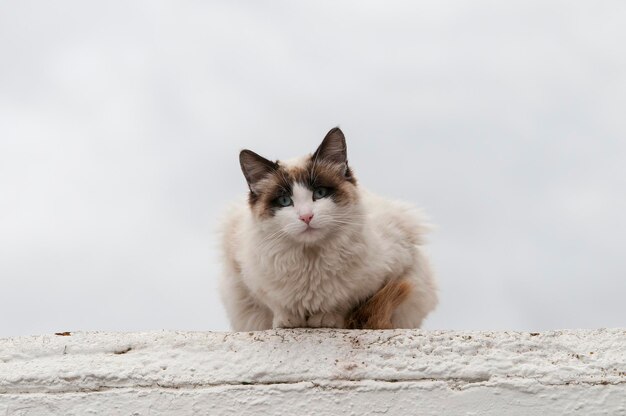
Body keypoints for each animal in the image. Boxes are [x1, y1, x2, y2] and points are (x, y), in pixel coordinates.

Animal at [217, 128, 436, 330]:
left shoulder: (393, 269)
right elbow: (276, 305)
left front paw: (326, 319)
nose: (306, 217)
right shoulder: (248, 280)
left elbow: (346, 304)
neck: (311, 262)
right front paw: (287, 321)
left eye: (320, 193)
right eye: (285, 201)